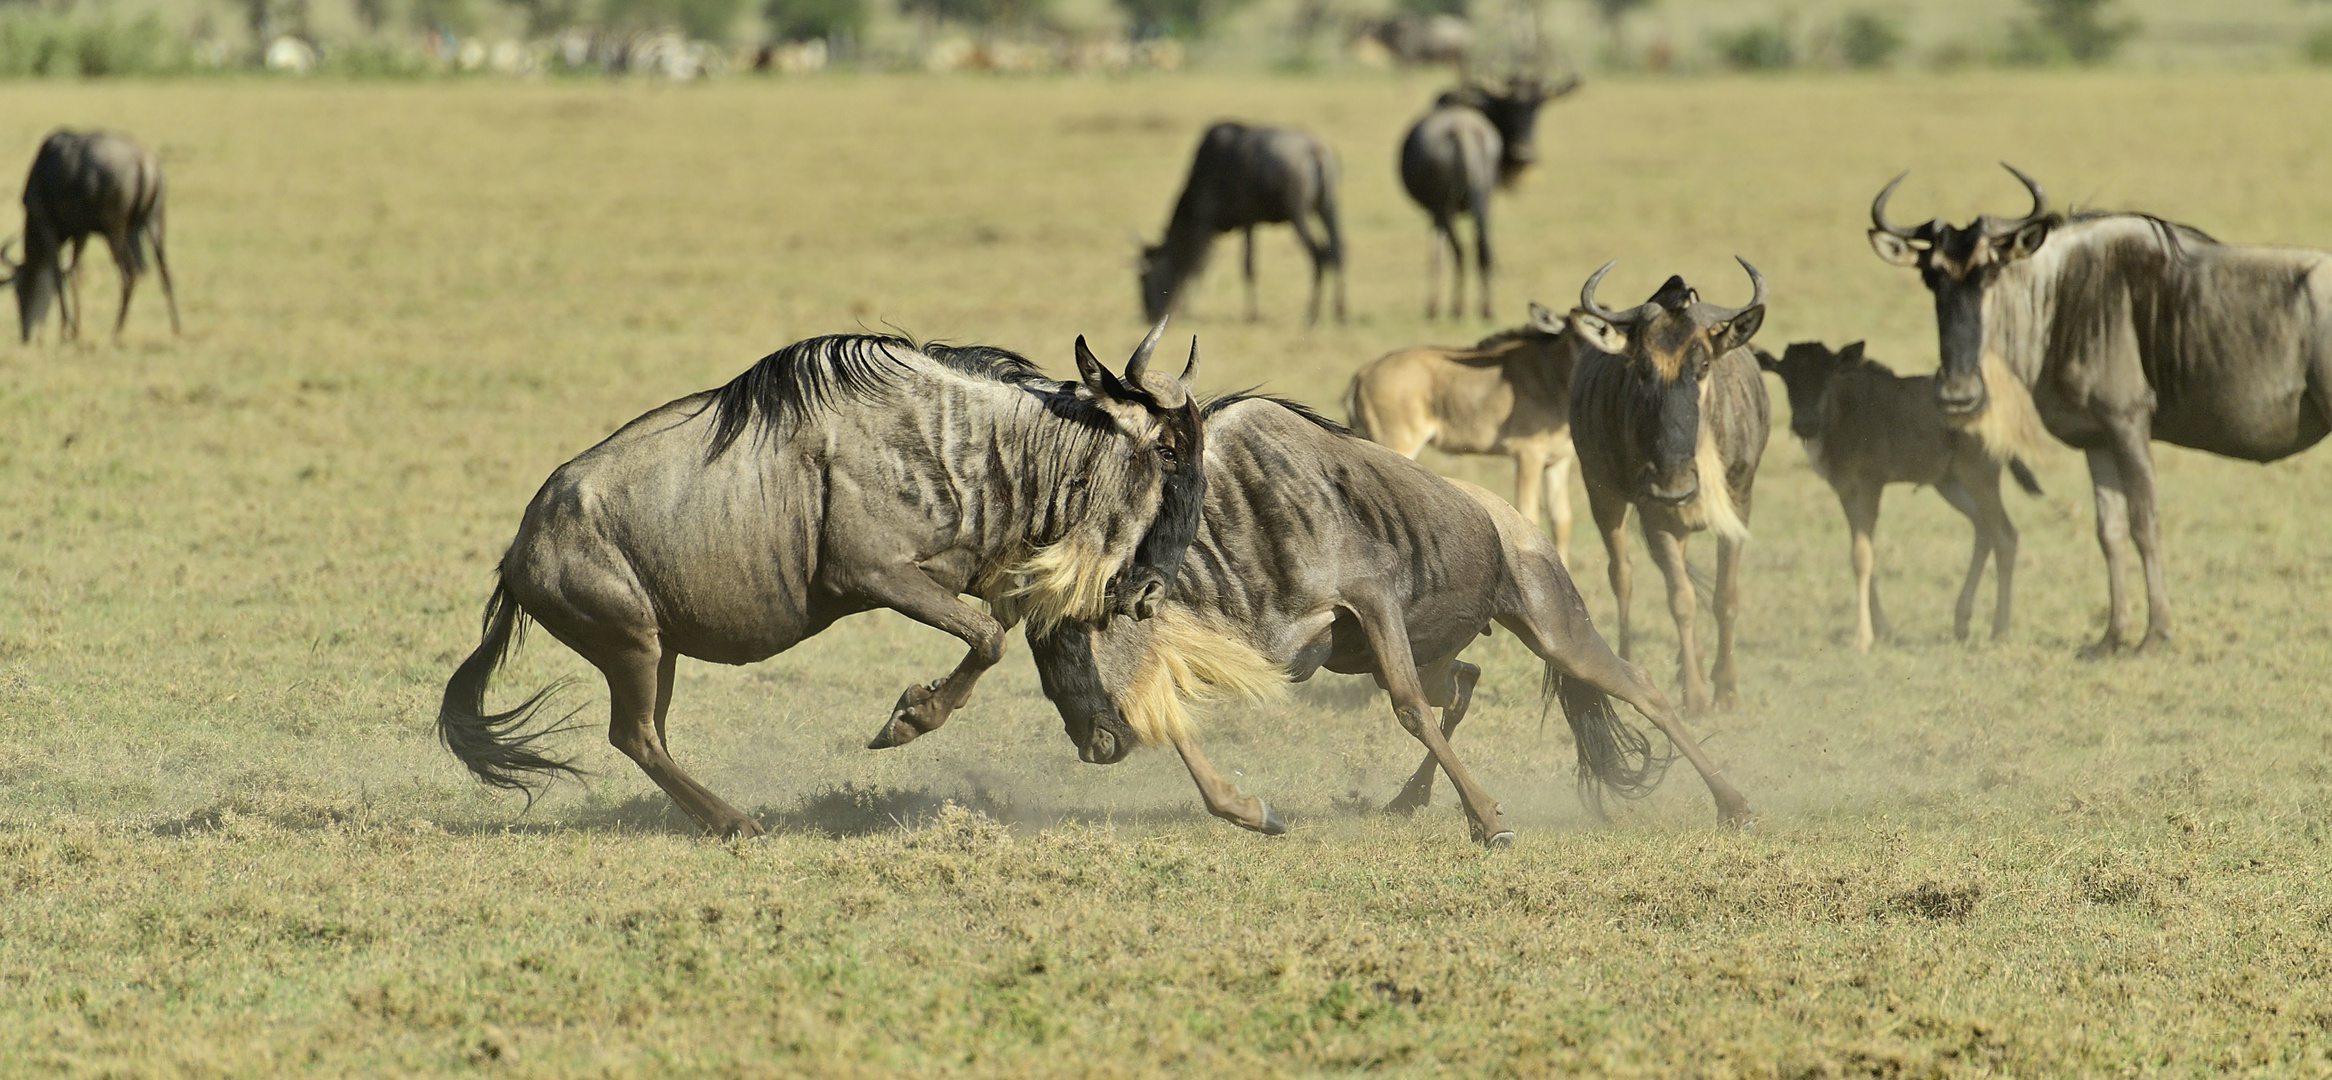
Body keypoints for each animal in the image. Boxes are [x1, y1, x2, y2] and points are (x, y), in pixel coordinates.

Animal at [1762, 342, 2042, 653]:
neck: (1841, 413)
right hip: (1948, 482)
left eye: (1825, 377)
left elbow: (1862, 555)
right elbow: (1862, 552)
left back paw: (1999, 631)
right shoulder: (1845, 491)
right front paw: (1882, 630)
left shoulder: (1870, 484)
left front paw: (1862, 638)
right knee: (1984, 529)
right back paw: (1961, 622)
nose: (1804, 425)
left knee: (2005, 535)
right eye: (1787, 377)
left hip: (1979, 474)